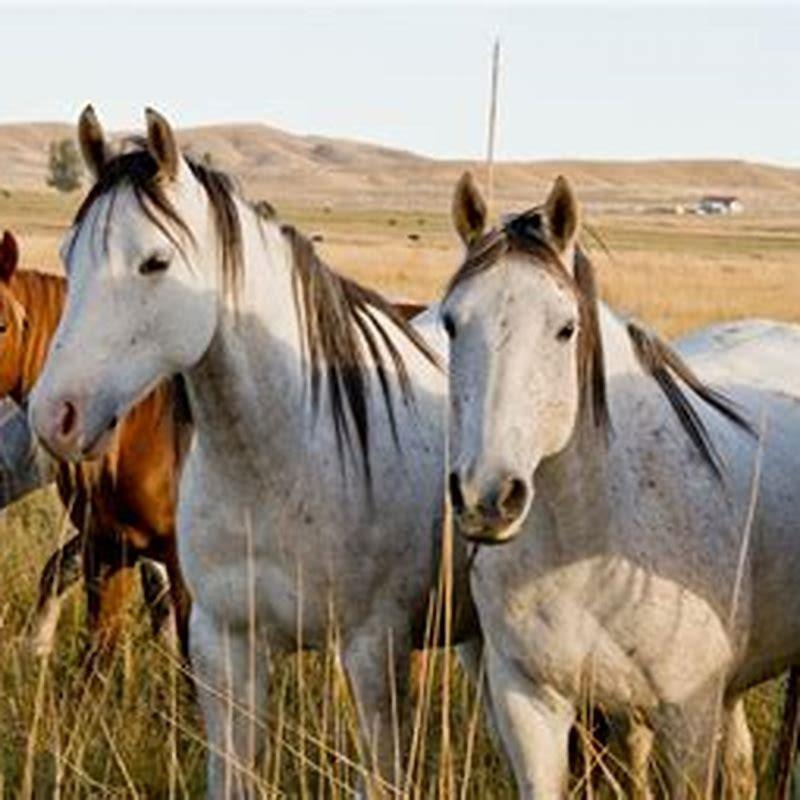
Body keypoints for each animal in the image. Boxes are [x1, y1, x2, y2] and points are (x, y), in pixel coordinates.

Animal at [28, 106, 481, 796]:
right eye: (67, 255)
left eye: (155, 262)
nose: (55, 416)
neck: (276, 464)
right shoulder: (225, 646)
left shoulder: (371, 652)